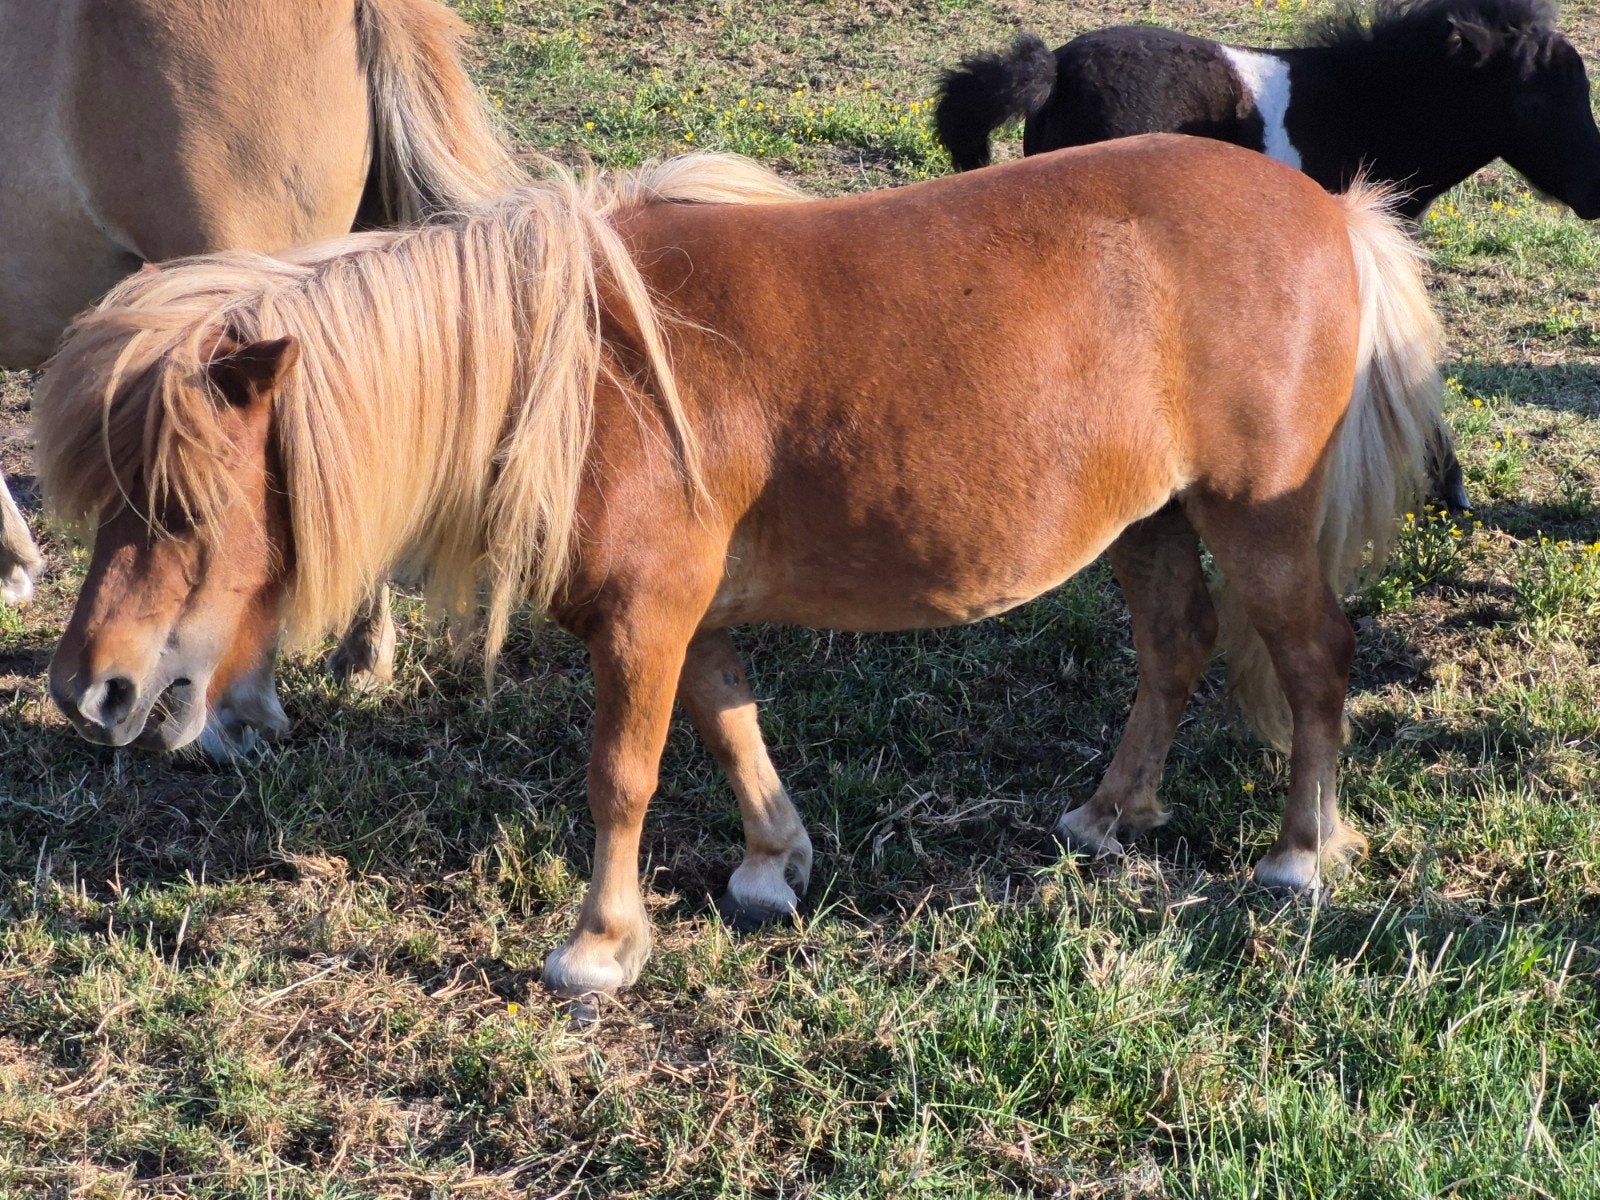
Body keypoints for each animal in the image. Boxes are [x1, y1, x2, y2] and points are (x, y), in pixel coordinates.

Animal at [37, 140, 1443, 1000]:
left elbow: (623, 775)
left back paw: (1299, 856)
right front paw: (775, 864)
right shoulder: (680, 615)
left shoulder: (641, 619)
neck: (584, 375)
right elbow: (728, 725)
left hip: (1257, 520)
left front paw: (599, 947)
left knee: (1313, 661)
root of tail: (1331, 210)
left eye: (183, 506)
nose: (89, 691)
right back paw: (1108, 815)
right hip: (1146, 516)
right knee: (1175, 645)